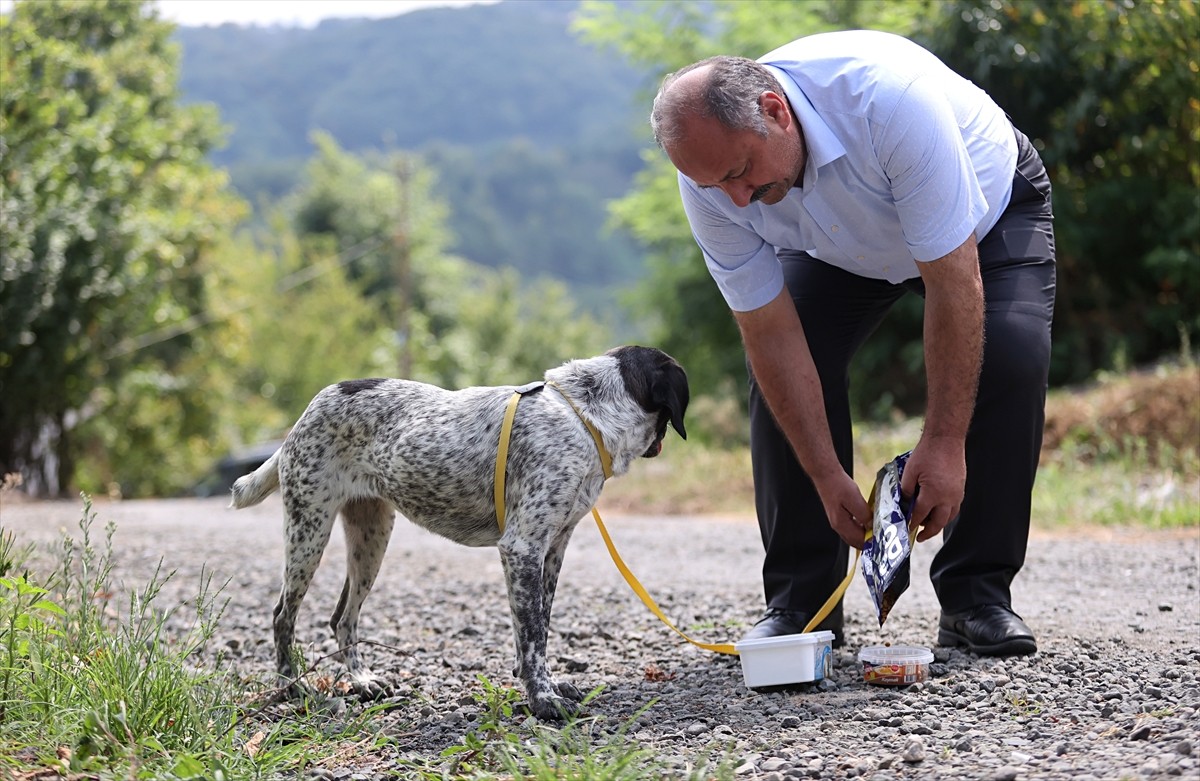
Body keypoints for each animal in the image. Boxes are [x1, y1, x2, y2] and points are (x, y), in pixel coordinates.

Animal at [229, 347, 691, 719]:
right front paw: (542, 699)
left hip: (370, 539)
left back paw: (362, 680)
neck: (584, 414)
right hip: (309, 531)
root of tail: (309, 410)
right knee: (283, 616)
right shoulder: (522, 547)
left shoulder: (553, 549)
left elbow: (537, 629)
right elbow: (533, 635)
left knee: (343, 618)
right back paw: (292, 687)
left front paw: (544, 682)